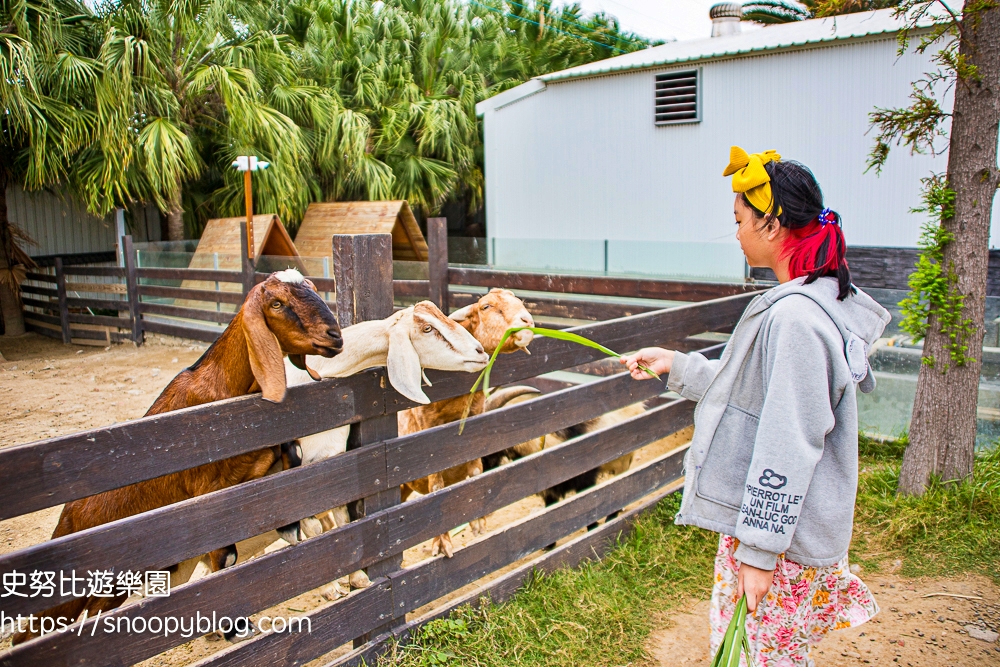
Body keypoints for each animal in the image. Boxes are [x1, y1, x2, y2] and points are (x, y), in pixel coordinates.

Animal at [13, 268, 342, 644]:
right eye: (277, 303)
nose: (335, 336)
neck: (223, 388)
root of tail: (67, 516)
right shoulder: (207, 489)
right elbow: (224, 556)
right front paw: (235, 627)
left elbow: (292, 453)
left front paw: (291, 524)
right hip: (78, 589)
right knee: (40, 626)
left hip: (116, 586)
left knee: (95, 612)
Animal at [402, 290, 536, 556]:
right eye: (486, 306)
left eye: (519, 301)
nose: (526, 322)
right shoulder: (426, 435)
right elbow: (436, 486)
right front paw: (442, 543)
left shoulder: (475, 418)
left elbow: (475, 471)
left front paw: (478, 523)